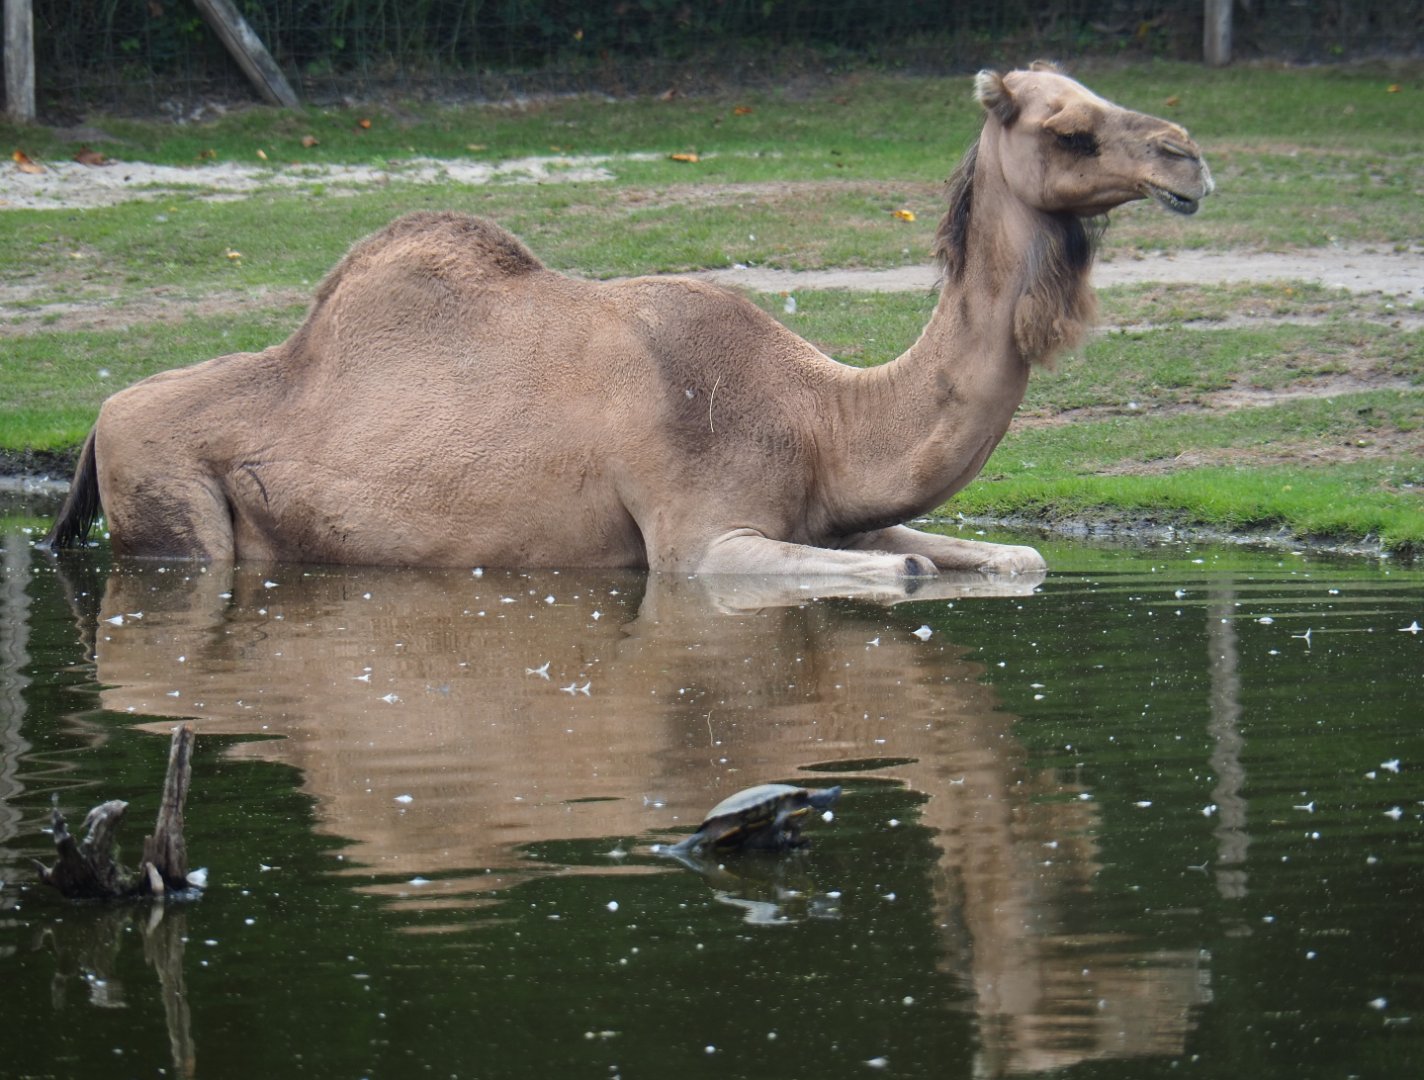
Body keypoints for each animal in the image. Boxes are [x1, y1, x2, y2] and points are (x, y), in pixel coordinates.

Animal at [44, 63, 1211, 576]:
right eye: (1065, 129)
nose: (1187, 155)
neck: (820, 414)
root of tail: (96, 419)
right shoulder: (701, 539)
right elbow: (904, 572)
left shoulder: (835, 513)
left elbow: (1009, 560)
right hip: (178, 510)